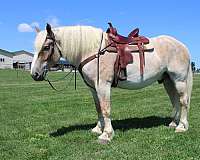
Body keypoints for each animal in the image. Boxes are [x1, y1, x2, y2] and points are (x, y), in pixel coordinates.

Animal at [30, 23, 192, 144]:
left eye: (46, 47)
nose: (34, 74)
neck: (93, 50)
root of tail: (182, 46)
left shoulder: (103, 85)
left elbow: (105, 109)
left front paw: (106, 134)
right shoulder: (93, 88)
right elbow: (98, 108)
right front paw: (98, 129)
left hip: (179, 80)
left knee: (183, 101)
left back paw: (182, 127)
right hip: (168, 80)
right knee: (175, 101)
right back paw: (173, 123)